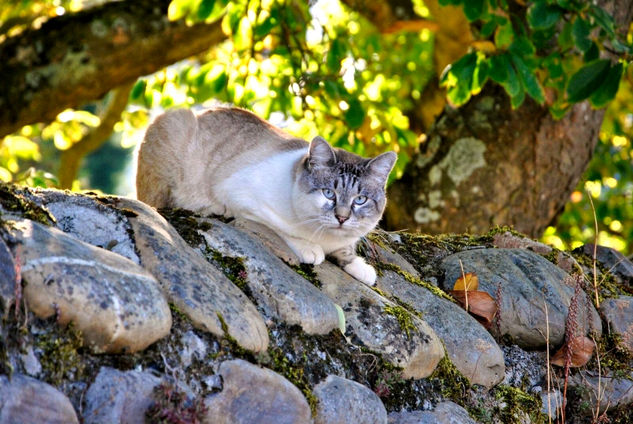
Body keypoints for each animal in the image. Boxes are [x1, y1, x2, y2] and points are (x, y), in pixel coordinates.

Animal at [137, 107, 396, 284]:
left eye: (360, 200)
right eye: (329, 194)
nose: (342, 218)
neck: (325, 238)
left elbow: (347, 249)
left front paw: (361, 268)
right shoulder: (241, 197)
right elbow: (282, 229)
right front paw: (310, 249)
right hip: (175, 124)